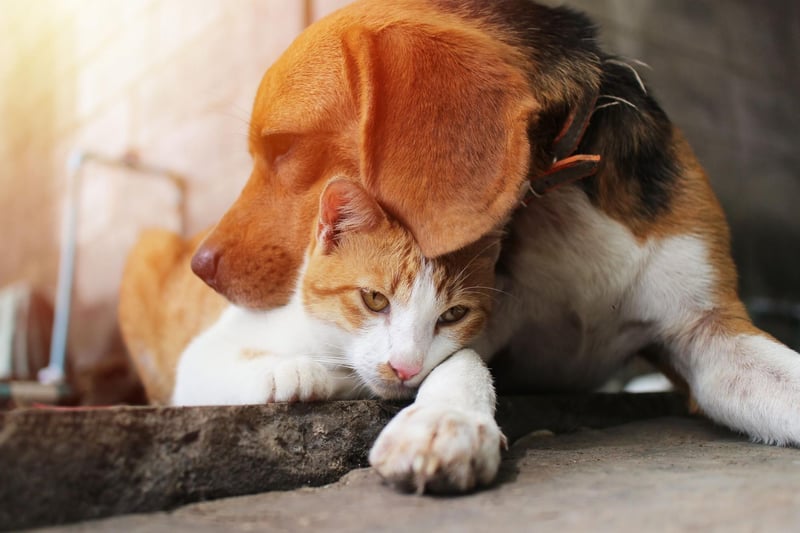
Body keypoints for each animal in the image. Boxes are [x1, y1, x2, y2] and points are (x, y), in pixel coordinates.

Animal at [120, 0, 800, 492]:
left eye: (283, 149)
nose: (201, 266)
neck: (556, 193)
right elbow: (461, 363)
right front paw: (443, 423)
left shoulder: (708, 331)